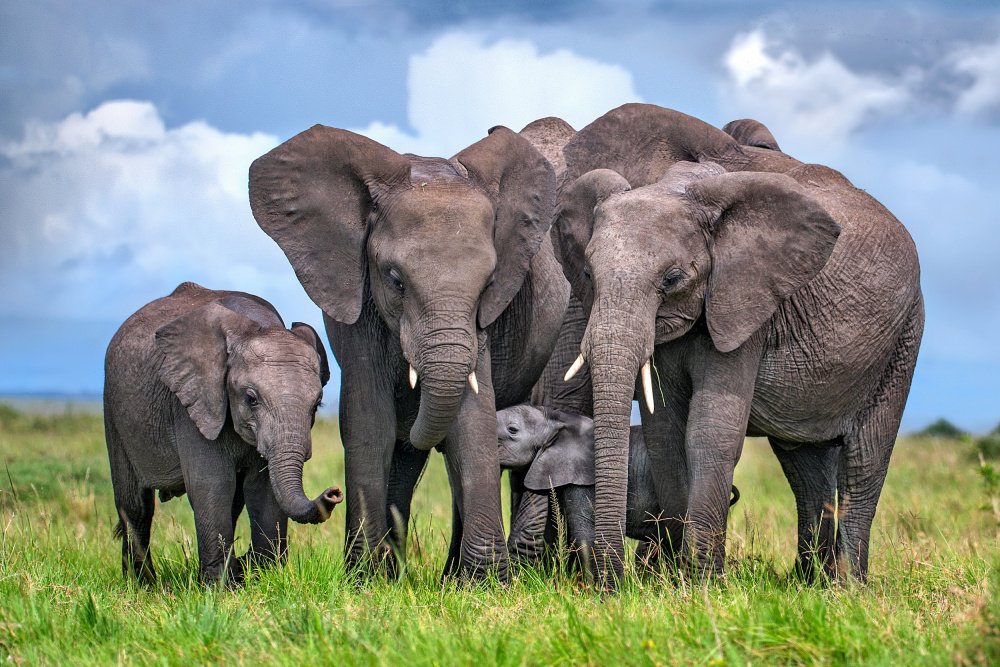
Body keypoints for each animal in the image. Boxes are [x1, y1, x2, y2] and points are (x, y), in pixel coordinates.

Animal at [103, 282, 341, 586]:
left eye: (317, 404)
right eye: (251, 399)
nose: (334, 493)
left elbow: (263, 489)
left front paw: (265, 577)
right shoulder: (192, 403)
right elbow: (212, 484)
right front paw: (219, 589)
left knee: (234, 504)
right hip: (114, 410)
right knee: (135, 505)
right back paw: (141, 585)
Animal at [249, 125, 570, 581]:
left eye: (489, 284)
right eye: (395, 279)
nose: (330, 495)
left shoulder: (482, 325)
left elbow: (472, 421)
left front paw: (486, 584)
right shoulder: (358, 301)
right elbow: (369, 423)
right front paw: (365, 581)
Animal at [552, 103, 923, 588]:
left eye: (672, 279)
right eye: (588, 274)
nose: (609, 587)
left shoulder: (748, 303)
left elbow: (710, 432)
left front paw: (703, 583)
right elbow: (665, 432)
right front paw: (673, 580)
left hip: (903, 337)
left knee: (865, 460)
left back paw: (848, 588)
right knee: (803, 465)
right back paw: (811, 583)